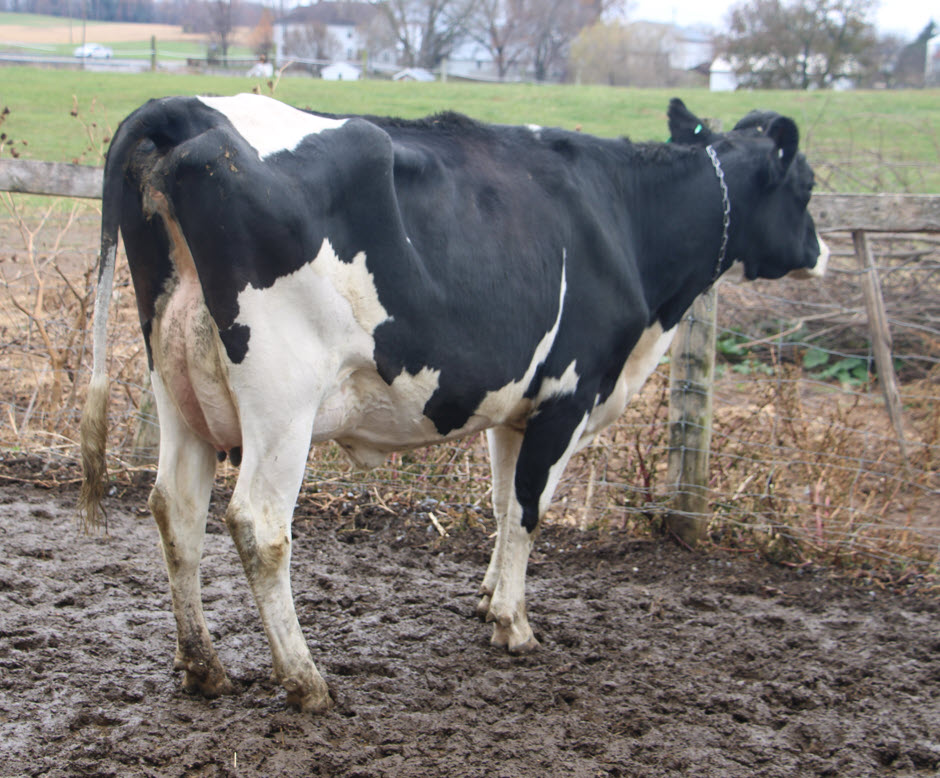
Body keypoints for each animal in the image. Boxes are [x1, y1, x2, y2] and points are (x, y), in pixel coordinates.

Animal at [80, 94, 827, 713]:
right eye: (806, 185)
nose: (819, 254)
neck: (626, 223)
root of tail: (190, 109)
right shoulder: (567, 398)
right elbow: (529, 511)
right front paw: (514, 625)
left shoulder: (515, 407)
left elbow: (501, 505)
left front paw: (489, 598)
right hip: (281, 399)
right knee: (259, 527)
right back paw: (305, 680)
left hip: (176, 384)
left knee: (176, 510)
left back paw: (204, 668)